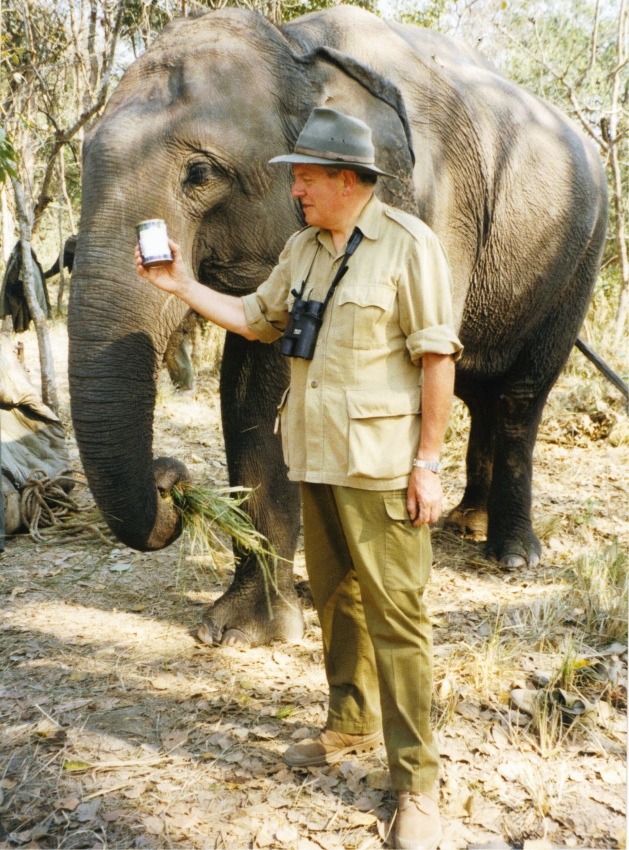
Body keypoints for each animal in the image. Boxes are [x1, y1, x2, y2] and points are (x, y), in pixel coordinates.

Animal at [68, 5, 607, 647]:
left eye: (200, 173)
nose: (169, 479)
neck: (300, 48)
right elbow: (251, 387)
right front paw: (242, 631)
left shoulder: (437, 205)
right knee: (474, 385)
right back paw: (466, 522)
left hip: (578, 259)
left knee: (519, 395)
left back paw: (513, 555)